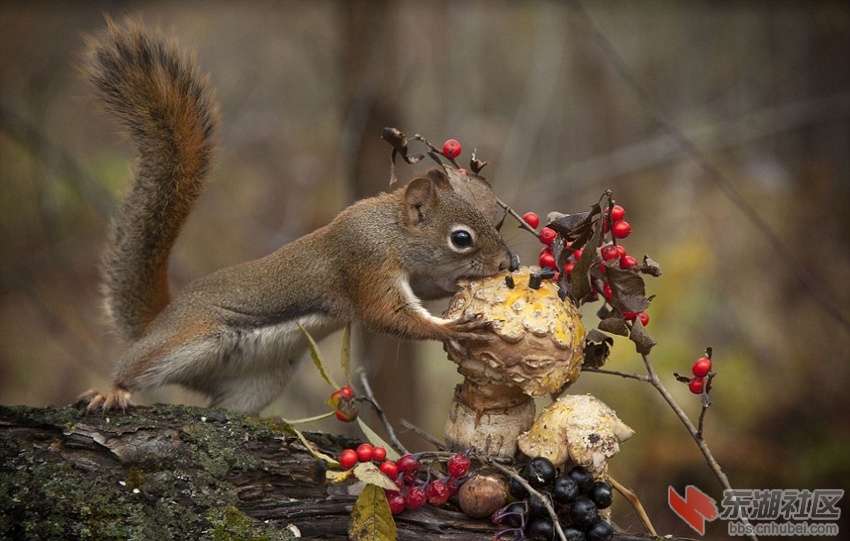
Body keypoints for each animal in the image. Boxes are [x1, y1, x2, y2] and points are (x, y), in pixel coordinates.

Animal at [78, 19, 510, 412]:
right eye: (461, 238)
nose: (508, 262)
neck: (391, 230)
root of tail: (159, 320)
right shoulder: (366, 262)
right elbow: (387, 314)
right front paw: (451, 327)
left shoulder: (416, 275)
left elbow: (428, 290)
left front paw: (456, 287)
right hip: (184, 340)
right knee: (134, 367)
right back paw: (112, 391)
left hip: (260, 381)